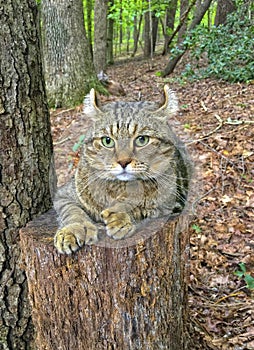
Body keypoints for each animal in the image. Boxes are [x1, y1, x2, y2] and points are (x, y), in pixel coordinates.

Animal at [53, 86, 190, 253]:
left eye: (142, 139)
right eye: (107, 141)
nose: (123, 162)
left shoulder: (171, 204)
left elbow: (141, 207)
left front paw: (119, 216)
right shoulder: (63, 195)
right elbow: (72, 212)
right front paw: (73, 230)